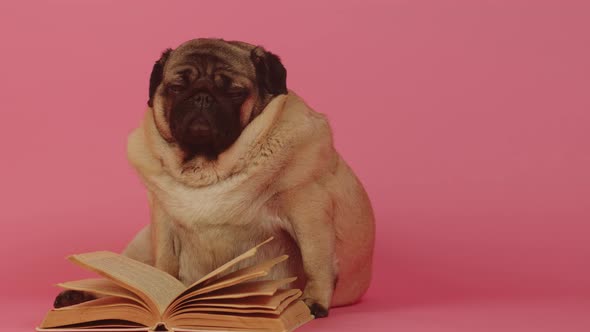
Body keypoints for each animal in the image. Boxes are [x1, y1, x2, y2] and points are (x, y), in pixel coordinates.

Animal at [54, 37, 374, 318]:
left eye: (234, 92)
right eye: (177, 87)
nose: (202, 97)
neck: (205, 168)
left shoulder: (308, 209)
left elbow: (315, 262)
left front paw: (314, 301)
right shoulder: (163, 221)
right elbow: (164, 263)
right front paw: (162, 295)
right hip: (142, 244)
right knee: (122, 277)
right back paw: (79, 295)